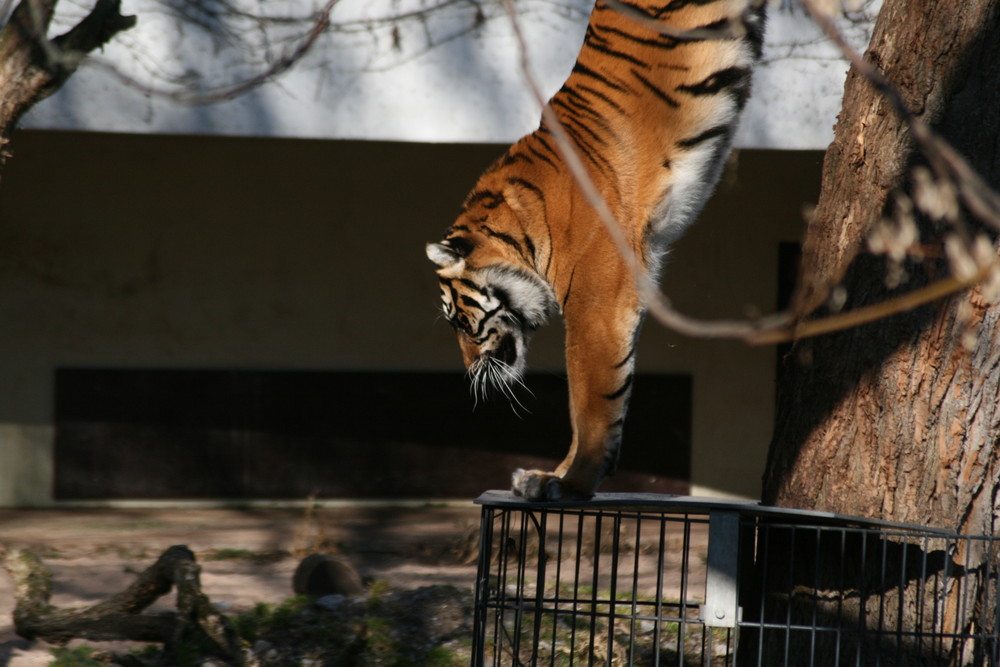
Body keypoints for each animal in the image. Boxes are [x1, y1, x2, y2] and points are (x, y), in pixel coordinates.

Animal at [424, 0, 764, 500]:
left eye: (460, 323)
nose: (469, 373)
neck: (525, 234)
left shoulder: (597, 302)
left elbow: (589, 399)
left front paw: (573, 481)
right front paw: (550, 476)